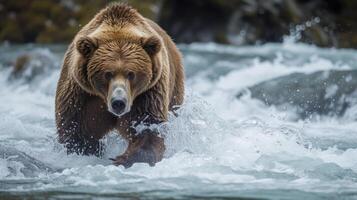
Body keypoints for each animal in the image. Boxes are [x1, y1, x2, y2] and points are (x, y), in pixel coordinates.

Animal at [56, 3, 184, 168]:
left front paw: (124, 159)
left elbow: (148, 127)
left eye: (131, 74)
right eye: (107, 73)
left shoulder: (147, 94)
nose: (118, 102)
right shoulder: (82, 95)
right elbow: (78, 131)